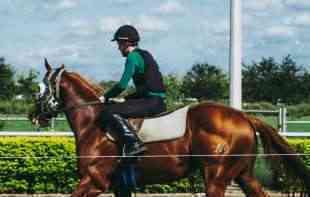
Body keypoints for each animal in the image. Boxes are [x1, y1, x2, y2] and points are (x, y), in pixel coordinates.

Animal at [29, 59, 310, 196]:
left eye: (41, 89)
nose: (33, 116)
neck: (93, 123)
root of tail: (243, 117)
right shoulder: (120, 185)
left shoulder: (95, 180)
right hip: (243, 174)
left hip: (216, 177)